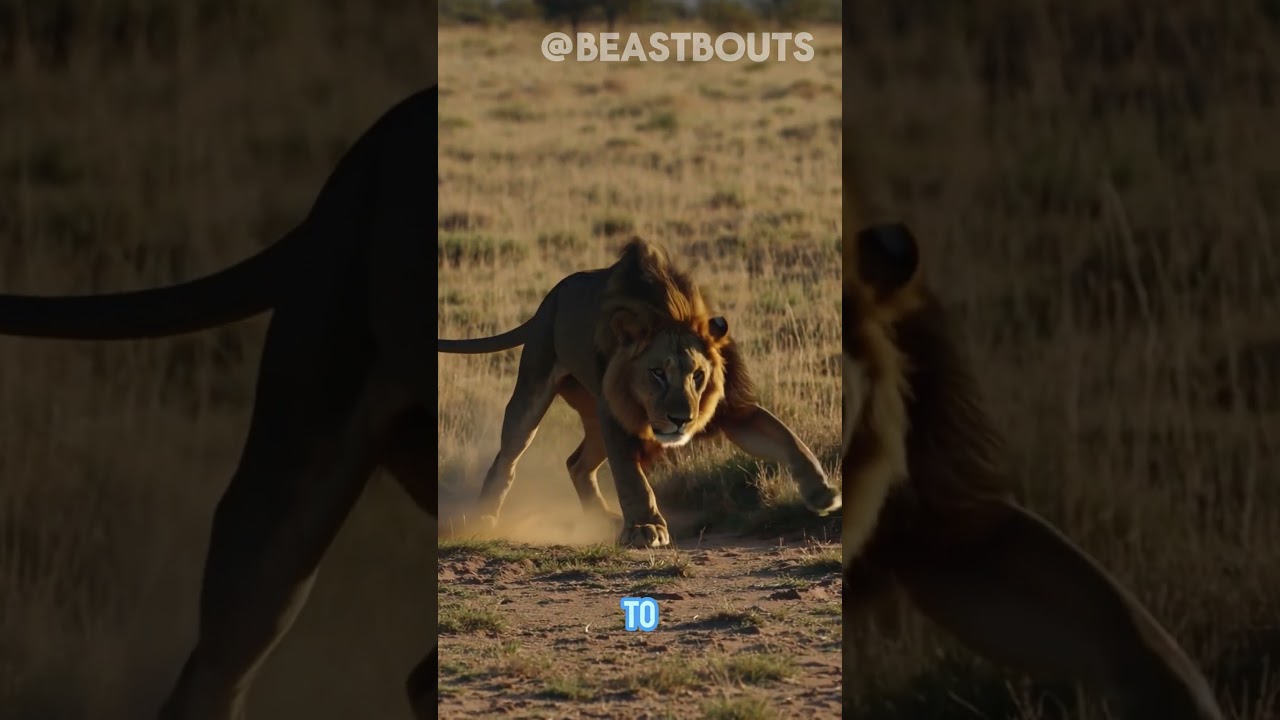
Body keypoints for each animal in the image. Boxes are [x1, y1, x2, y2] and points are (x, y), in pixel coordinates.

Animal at [438, 238, 842, 548]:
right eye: (657, 373)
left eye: (698, 375)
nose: (682, 420)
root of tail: (547, 302)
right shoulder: (618, 415)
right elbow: (632, 479)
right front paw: (646, 527)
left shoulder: (734, 410)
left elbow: (787, 438)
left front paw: (822, 492)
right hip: (536, 391)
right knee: (507, 457)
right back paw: (486, 517)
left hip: (594, 416)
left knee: (576, 463)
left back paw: (601, 517)